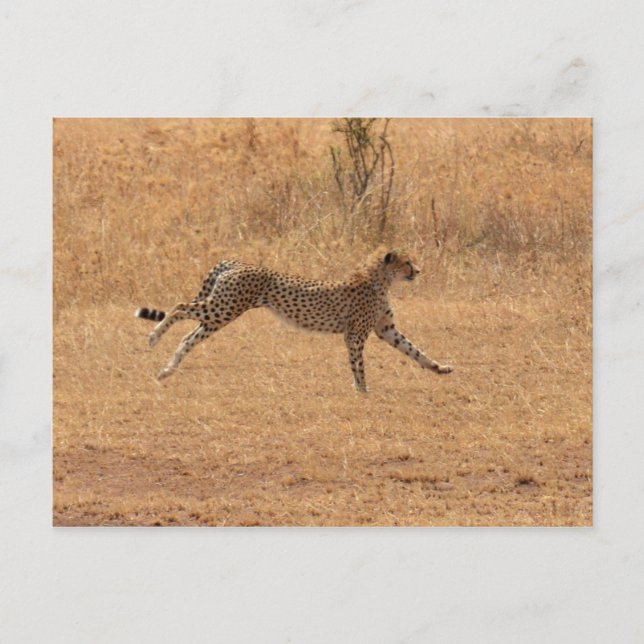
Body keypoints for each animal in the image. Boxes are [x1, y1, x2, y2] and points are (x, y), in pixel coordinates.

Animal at [135, 249, 453, 392]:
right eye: (407, 262)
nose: (418, 271)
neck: (379, 279)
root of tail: (236, 262)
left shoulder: (386, 329)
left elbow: (414, 350)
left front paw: (440, 368)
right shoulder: (355, 334)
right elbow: (358, 364)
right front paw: (362, 391)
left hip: (219, 313)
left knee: (189, 336)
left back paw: (167, 370)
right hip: (223, 308)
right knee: (178, 307)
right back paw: (153, 338)